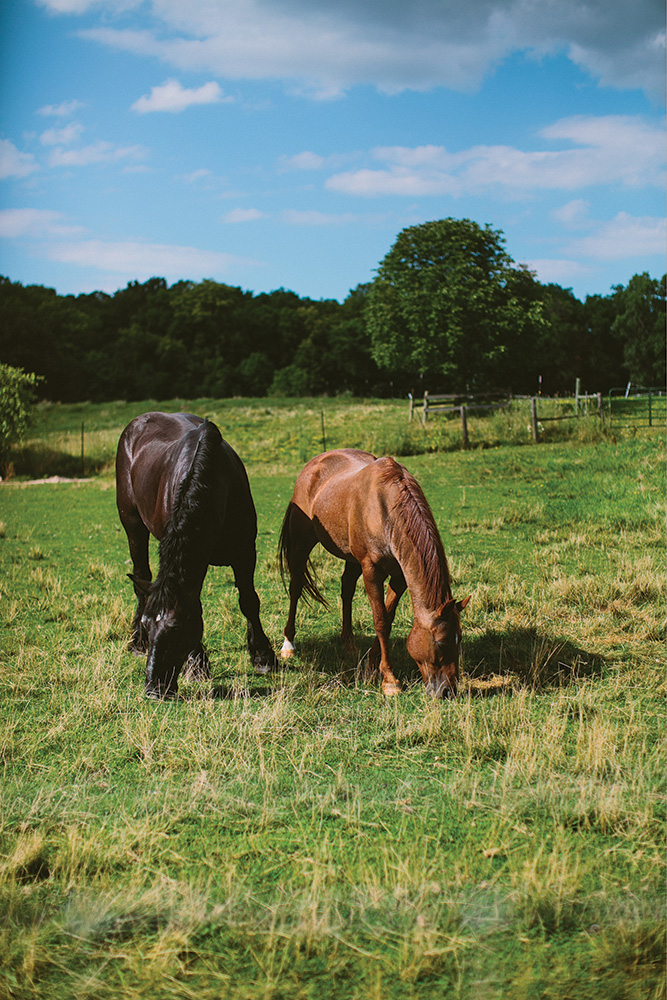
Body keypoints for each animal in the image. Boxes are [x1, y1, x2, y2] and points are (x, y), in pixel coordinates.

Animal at [116, 410, 276, 700]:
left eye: (177, 629)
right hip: (132, 525)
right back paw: (136, 643)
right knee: (141, 575)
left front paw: (262, 656)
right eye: (148, 625)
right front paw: (198, 665)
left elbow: (249, 600)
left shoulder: (245, 552)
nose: (154, 689)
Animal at [280, 450, 472, 700]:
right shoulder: (371, 571)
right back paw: (288, 644)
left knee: (346, 590)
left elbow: (388, 617)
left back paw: (349, 644)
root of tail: (313, 463)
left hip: (351, 557)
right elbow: (380, 621)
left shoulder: (400, 576)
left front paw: (371, 665)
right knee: (295, 587)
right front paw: (390, 680)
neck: (385, 510)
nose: (448, 691)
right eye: (440, 643)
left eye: (460, 639)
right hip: (302, 543)